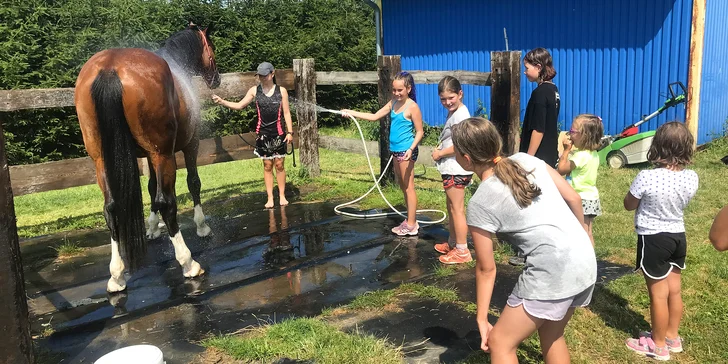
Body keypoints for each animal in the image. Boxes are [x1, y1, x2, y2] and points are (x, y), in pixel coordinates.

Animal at [74, 24, 223, 292]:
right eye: (211, 46)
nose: (217, 79)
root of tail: (110, 67)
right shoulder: (189, 145)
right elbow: (192, 183)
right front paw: (202, 226)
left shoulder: (147, 155)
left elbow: (152, 187)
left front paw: (152, 228)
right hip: (163, 155)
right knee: (167, 203)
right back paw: (188, 263)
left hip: (103, 161)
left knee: (111, 208)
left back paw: (116, 276)